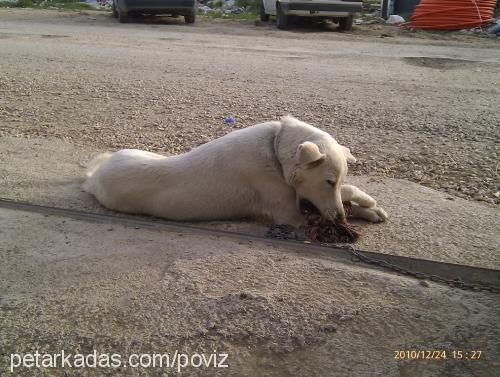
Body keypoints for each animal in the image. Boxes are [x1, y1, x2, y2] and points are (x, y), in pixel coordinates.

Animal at [83, 114, 386, 226]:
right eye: (328, 182)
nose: (339, 220)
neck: (275, 150)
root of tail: (94, 177)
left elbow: (346, 195)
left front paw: (369, 209)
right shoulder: (289, 213)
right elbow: (339, 197)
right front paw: (366, 205)